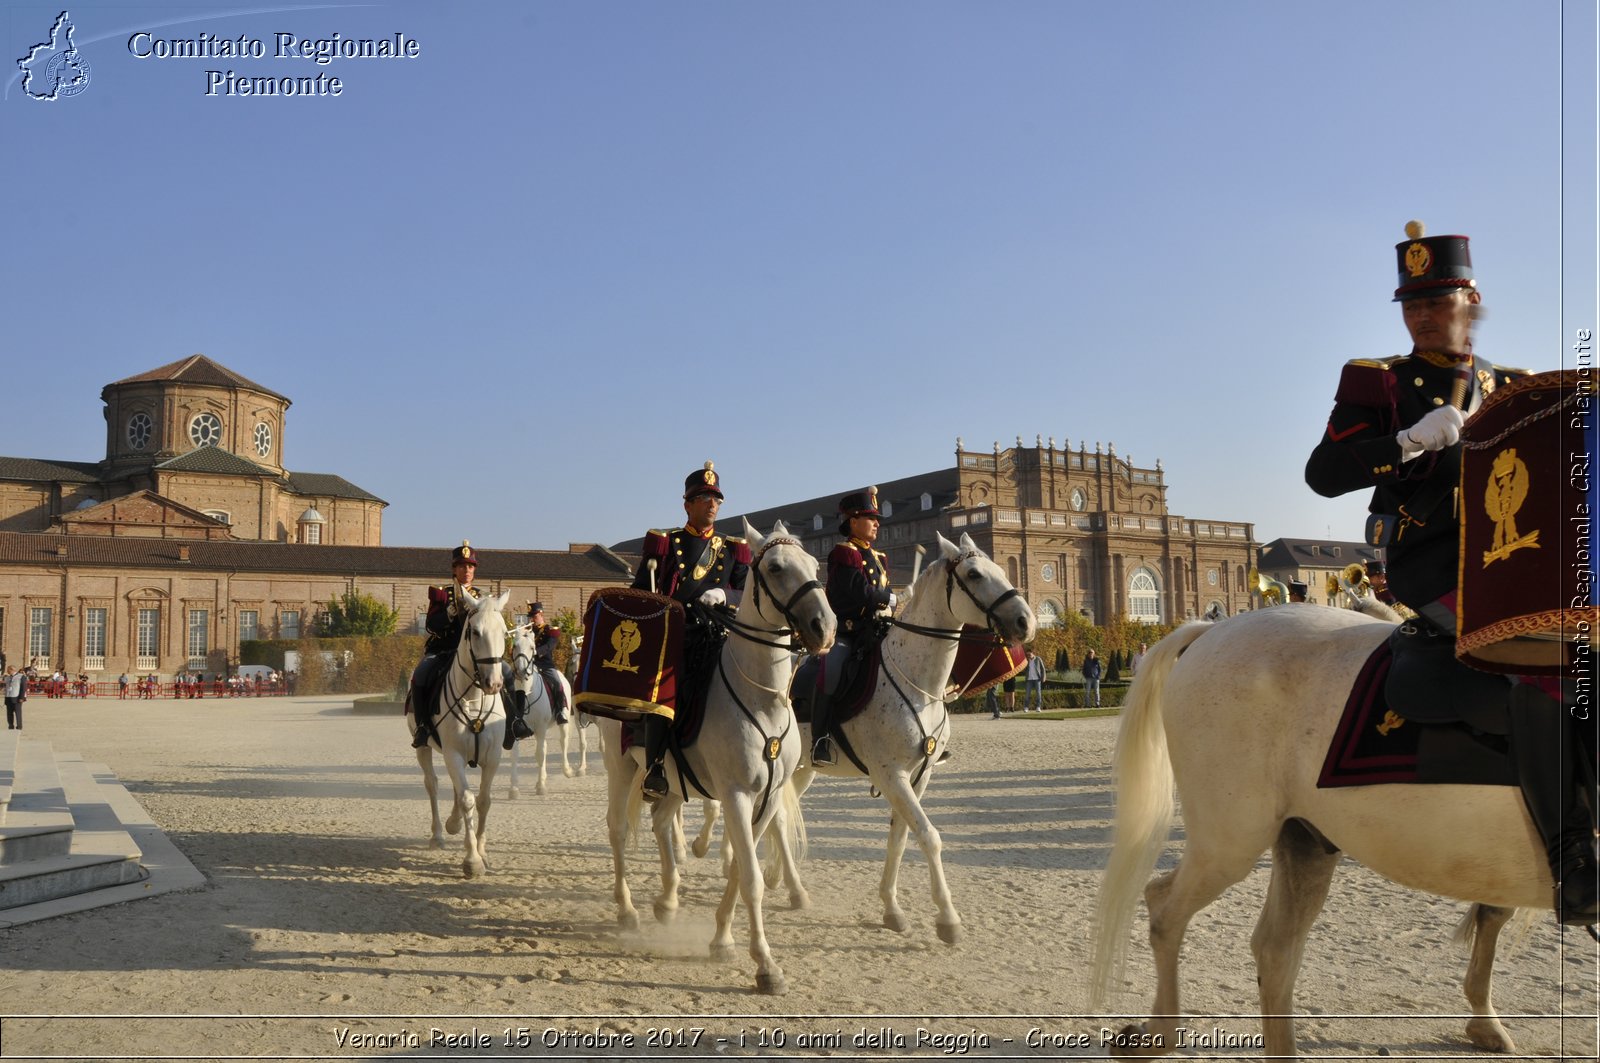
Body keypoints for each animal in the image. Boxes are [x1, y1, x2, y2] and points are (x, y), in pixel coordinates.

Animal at [403, 585, 508, 877]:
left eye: (504, 632)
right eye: (475, 632)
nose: (494, 683)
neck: (474, 700)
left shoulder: (492, 757)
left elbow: (483, 800)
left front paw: (481, 851)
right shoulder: (453, 755)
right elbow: (467, 799)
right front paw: (472, 860)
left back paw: (455, 825)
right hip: (424, 747)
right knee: (433, 784)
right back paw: (439, 833)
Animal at [505, 624, 588, 797]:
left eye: (532, 647)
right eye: (514, 646)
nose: (521, 671)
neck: (526, 694)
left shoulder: (541, 728)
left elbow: (540, 754)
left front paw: (541, 786)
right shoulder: (514, 728)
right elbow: (514, 755)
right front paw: (514, 788)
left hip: (564, 722)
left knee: (562, 743)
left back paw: (567, 770)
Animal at [595, 521, 832, 998]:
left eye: (815, 566)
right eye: (776, 568)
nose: (824, 626)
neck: (762, 699)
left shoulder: (767, 798)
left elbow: (741, 868)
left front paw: (722, 939)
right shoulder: (736, 794)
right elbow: (753, 878)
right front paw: (766, 966)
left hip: (667, 776)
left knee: (661, 822)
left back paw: (667, 900)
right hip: (621, 767)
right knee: (618, 830)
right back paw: (628, 911)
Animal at [787, 534, 1036, 941]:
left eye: (1000, 568)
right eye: (974, 573)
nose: (1025, 621)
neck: (917, 683)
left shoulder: (919, 775)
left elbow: (900, 840)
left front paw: (891, 908)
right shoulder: (891, 775)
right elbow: (930, 836)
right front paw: (948, 919)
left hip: (801, 769)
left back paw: (785, 885)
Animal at [1088, 605, 1561, 1056]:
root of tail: (1212, 629)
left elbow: (1493, 913)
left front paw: (1484, 1021)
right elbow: (1493, 915)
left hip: (1304, 838)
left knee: (1275, 951)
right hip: (1229, 845)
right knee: (1165, 909)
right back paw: (1156, 1036)